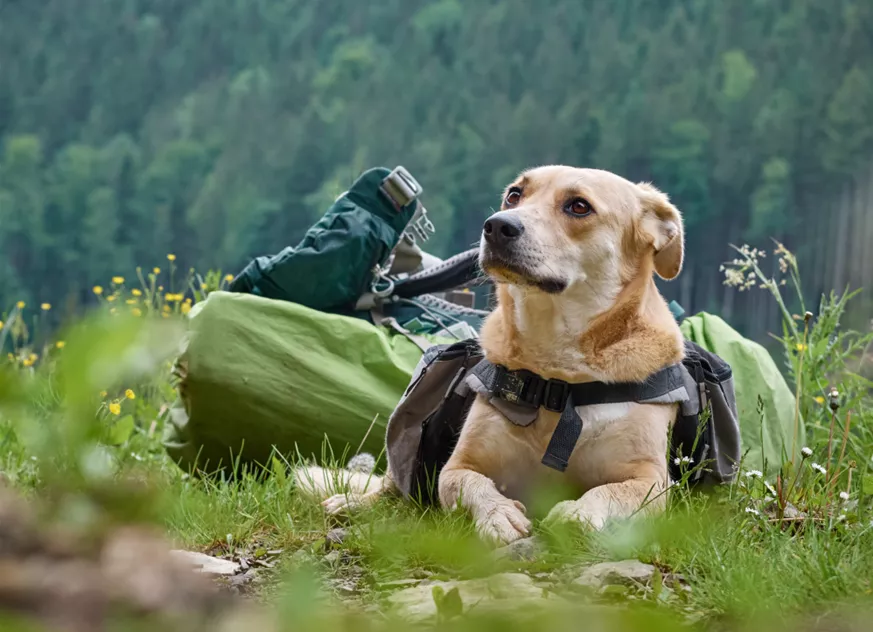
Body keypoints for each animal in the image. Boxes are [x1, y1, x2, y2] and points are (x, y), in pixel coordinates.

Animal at [296, 165, 684, 544]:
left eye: (579, 206)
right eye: (514, 195)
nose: (497, 225)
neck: (556, 376)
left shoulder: (651, 479)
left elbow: (612, 492)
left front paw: (579, 514)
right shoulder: (460, 464)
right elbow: (468, 482)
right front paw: (498, 514)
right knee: (392, 489)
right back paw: (352, 503)